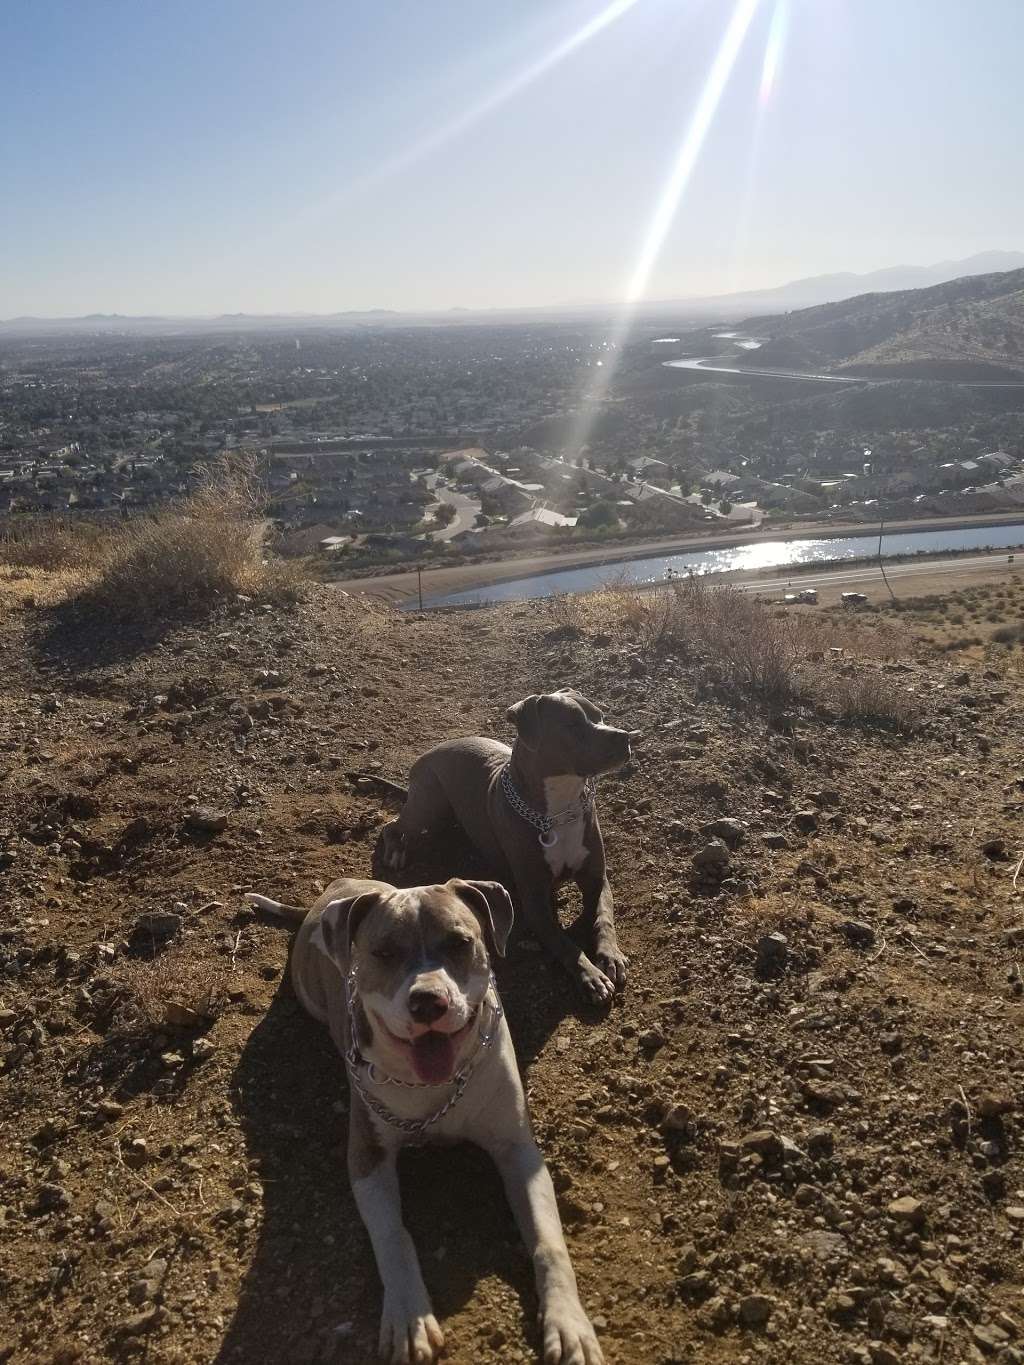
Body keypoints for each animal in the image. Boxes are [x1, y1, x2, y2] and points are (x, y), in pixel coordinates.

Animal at [247, 879, 600, 1359]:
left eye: (459, 943)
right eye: (384, 952)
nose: (428, 1001)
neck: (434, 1086)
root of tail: (332, 892)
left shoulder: (517, 1150)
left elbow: (549, 1244)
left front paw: (568, 1324)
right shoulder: (367, 1157)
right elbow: (394, 1237)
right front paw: (408, 1319)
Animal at [382, 693, 638, 1004]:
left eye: (600, 715)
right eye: (572, 725)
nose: (625, 736)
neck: (559, 811)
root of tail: (431, 751)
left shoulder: (595, 877)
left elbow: (604, 916)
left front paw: (610, 955)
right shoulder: (535, 901)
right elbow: (564, 944)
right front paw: (590, 976)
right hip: (428, 804)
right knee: (392, 826)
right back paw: (396, 850)